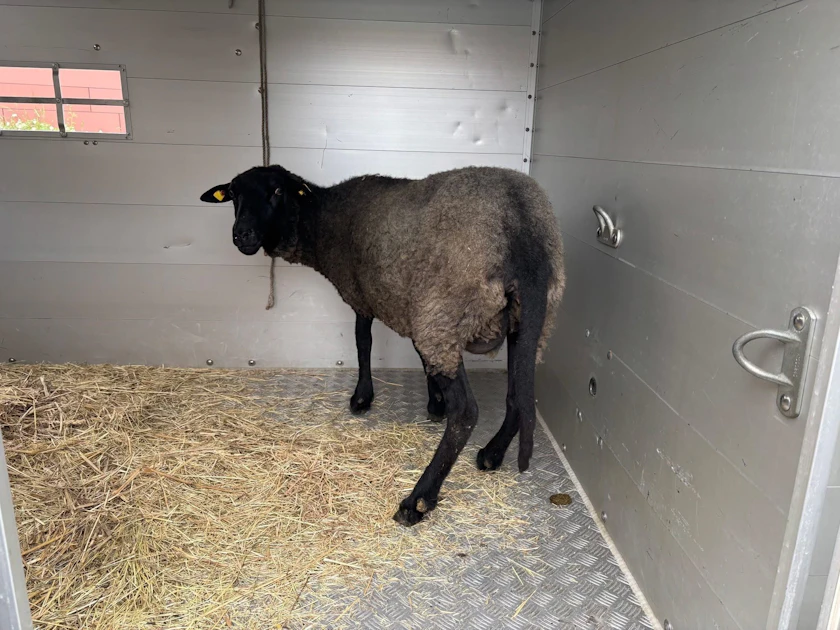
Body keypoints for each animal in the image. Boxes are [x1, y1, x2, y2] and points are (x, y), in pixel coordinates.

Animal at [200, 164, 565, 526]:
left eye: (276, 190)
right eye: (233, 194)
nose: (242, 235)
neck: (322, 218)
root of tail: (521, 228)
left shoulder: (367, 297)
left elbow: (364, 342)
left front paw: (362, 397)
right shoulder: (409, 305)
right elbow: (419, 356)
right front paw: (434, 402)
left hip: (445, 312)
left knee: (466, 412)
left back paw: (418, 500)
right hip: (526, 322)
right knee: (518, 393)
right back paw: (492, 453)